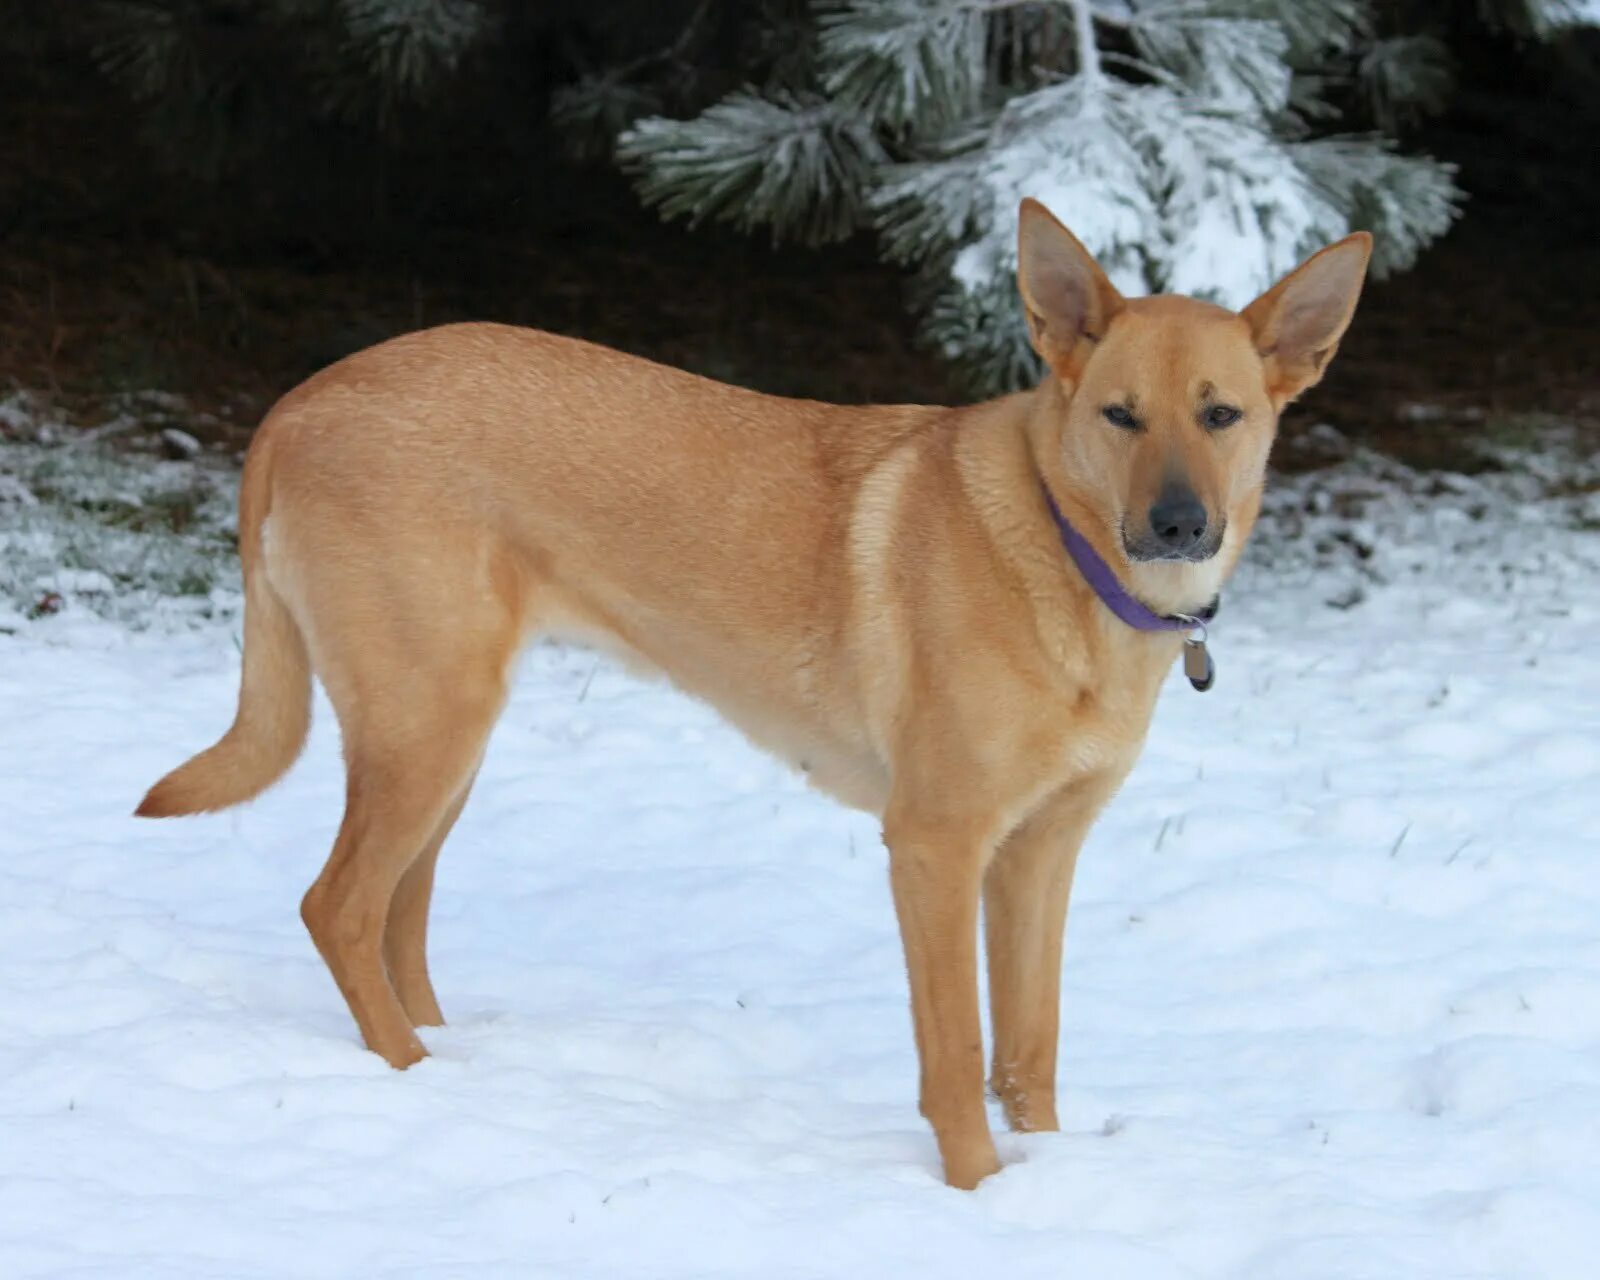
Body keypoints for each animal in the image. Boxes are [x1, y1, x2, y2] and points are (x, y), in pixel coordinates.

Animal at [137, 200, 1369, 1190]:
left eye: (1220, 416)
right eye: (1120, 415)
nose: (1177, 525)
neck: (1068, 565)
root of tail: (299, 400)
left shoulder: (1040, 855)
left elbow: (1031, 1049)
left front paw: (1047, 1176)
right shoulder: (935, 846)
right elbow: (959, 1055)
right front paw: (981, 1193)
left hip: (446, 734)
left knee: (400, 914)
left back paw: (461, 1062)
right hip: (427, 725)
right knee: (339, 907)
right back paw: (414, 1076)